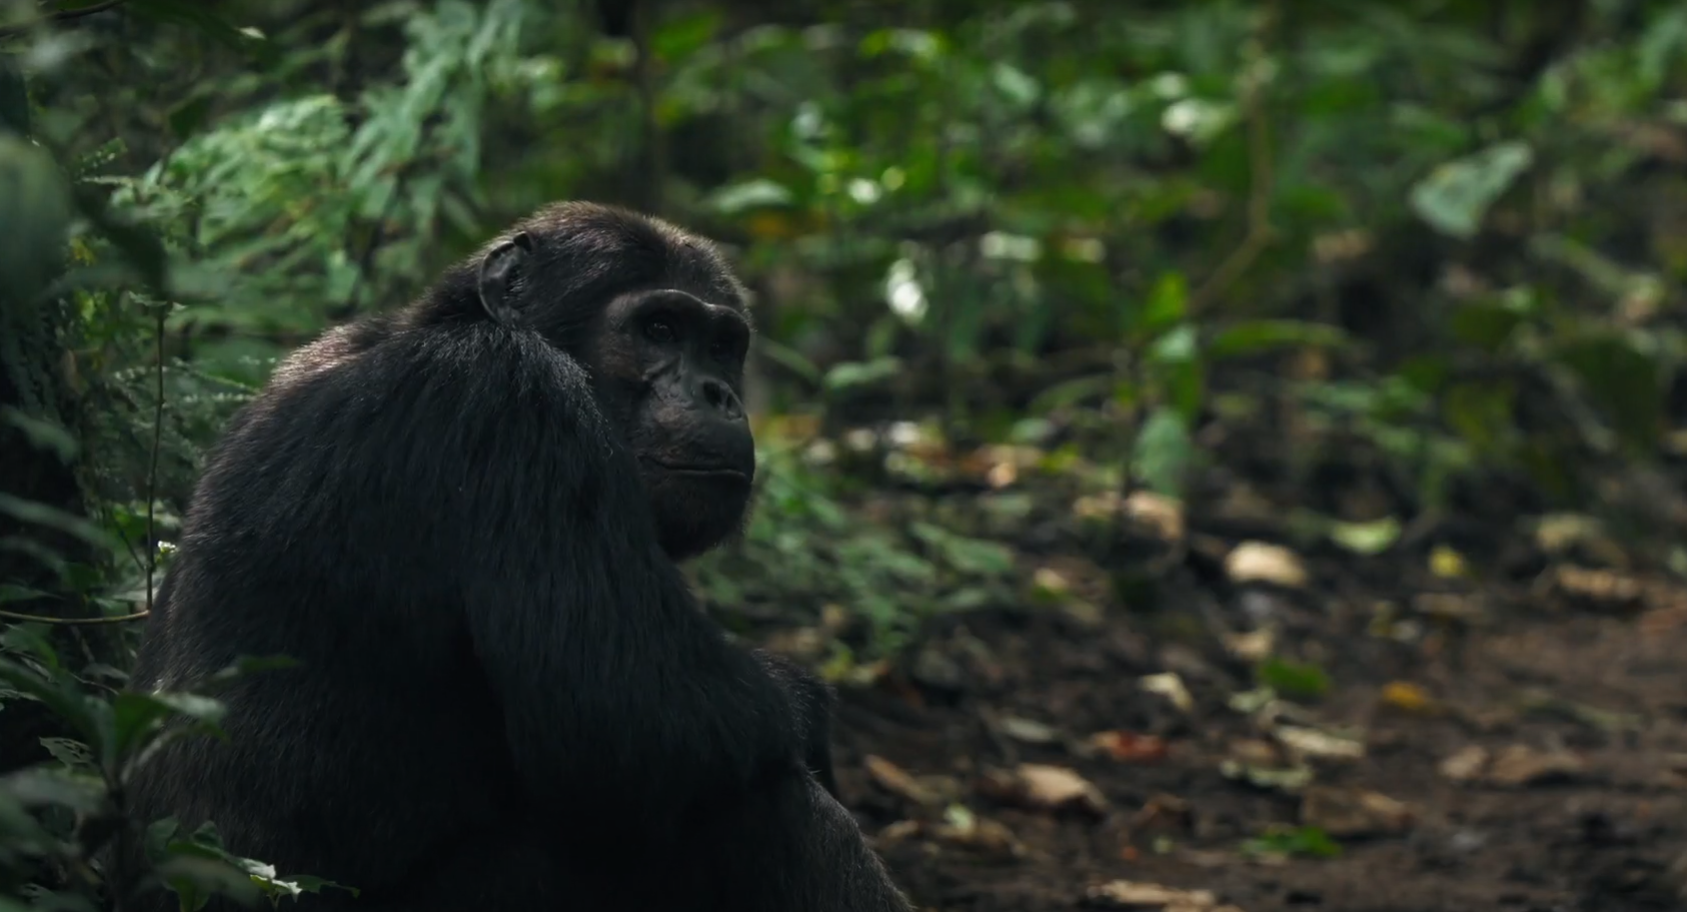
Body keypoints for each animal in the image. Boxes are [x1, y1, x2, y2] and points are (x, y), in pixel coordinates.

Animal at [117, 202, 910, 903]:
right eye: (658, 328)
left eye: (722, 344)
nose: (717, 392)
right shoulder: (518, 403)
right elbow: (631, 710)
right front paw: (806, 707)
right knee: (756, 808)